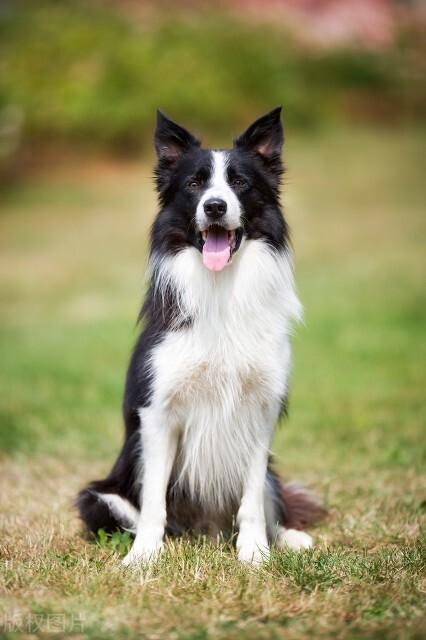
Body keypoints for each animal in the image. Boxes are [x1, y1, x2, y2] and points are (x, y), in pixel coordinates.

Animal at [76, 106, 322, 564]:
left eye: (240, 182)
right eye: (194, 184)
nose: (215, 206)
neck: (220, 288)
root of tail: (204, 530)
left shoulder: (261, 410)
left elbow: (250, 499)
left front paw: (254, 553)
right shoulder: (158, 413)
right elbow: (154, 500)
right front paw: (143, 558)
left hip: (270, 475)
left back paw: (290, 538)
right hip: (99, 495)